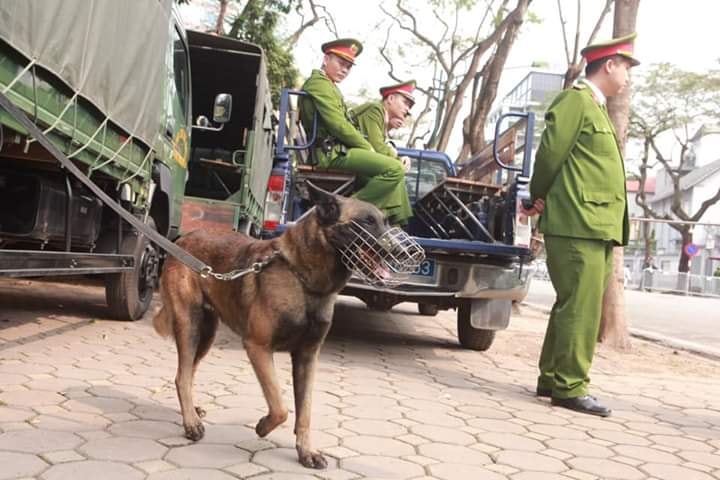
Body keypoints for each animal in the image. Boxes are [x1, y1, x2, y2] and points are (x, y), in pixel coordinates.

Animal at [151, 183, 388, 468]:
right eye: (366, 221)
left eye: (386, 222)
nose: (399, 251)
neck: (304, 281)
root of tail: (183, 240)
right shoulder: (258, 348)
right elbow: (281, 408)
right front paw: (264, 426)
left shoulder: (307, 357)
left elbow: (305, 412)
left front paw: (306, 451)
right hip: (190, 326)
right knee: (182, 375)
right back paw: (191, 423)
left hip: (206, 334)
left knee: (185, 374)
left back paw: (192, 411)